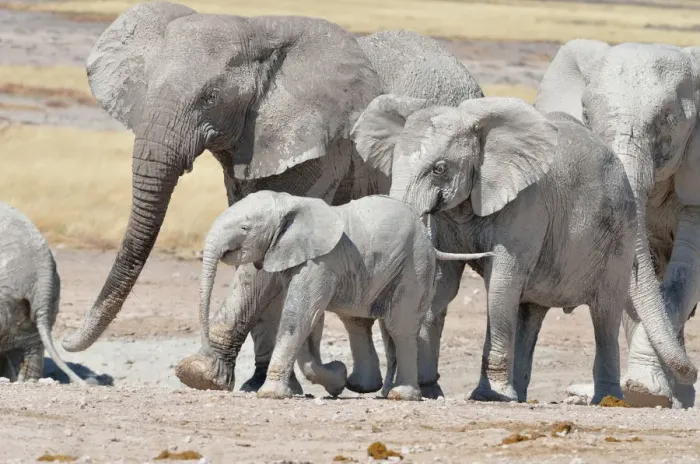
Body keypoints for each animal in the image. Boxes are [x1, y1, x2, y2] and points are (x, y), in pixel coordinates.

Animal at [174, 191, 491, 399]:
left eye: (244, 227)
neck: (290, 202)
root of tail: (431, 244)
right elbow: (308, 322)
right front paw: (336, 379)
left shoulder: (322, 262)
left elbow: (300, 314)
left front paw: (272, 394)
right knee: (384, 325)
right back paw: (384, 391)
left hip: (415, 265)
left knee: (399, 326)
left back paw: (402, 395)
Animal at [350, 95, 698, 404]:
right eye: (393, 165)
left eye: (439, 168)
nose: (387, 389)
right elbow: (442, 283)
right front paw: (428, 391)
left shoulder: (527, 204)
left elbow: (502, 283)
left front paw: (488, 396)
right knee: (530, 313)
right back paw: (519, 395)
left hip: (620, 236)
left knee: (605, 314)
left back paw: (607, 400)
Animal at [533, 40, 700, 408]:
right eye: (585, 116)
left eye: (669, 120)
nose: (693, 371)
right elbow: (630, 277)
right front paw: (646, 394)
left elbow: (684, 275)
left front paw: (645, 392)